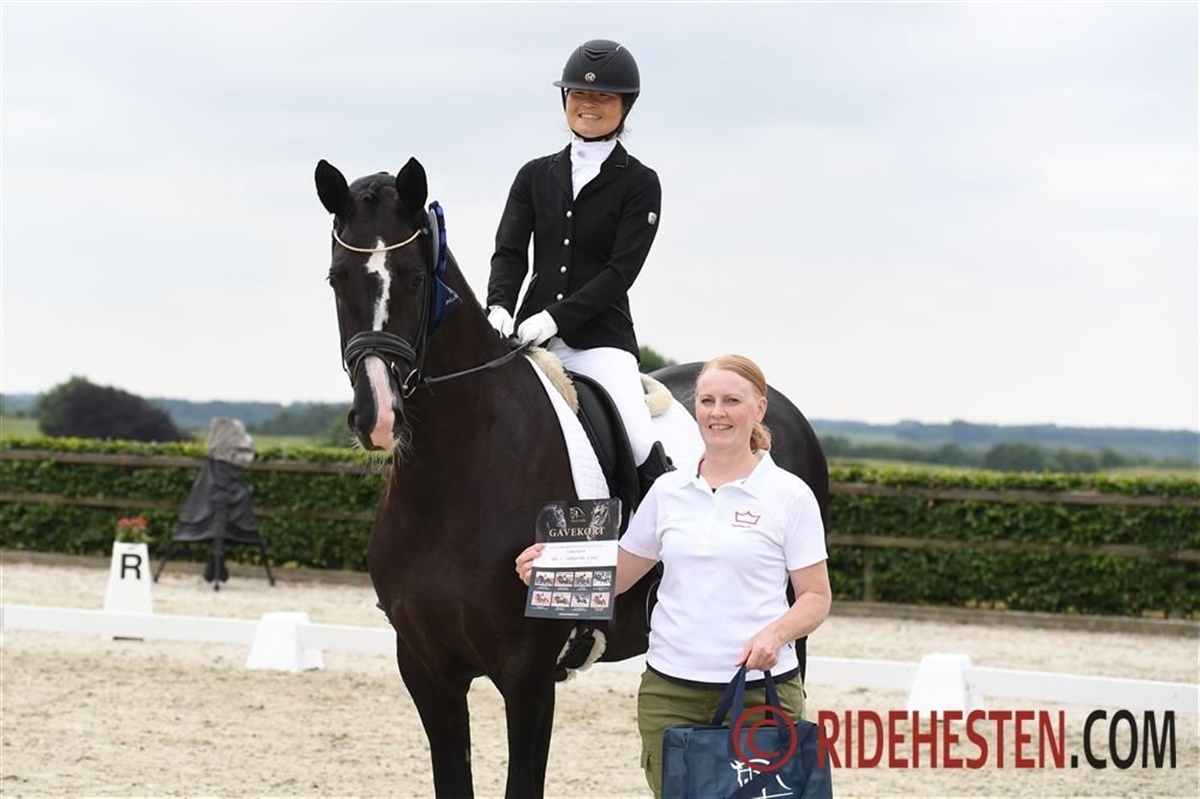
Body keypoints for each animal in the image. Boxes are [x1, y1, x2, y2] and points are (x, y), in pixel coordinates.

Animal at [314, 157, 829, 798]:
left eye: (412, 278)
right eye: (337, 278)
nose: (378, 417)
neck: (456, 478)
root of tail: (779, 406)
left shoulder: (529, 677)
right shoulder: (426, 669)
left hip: (789, 635)